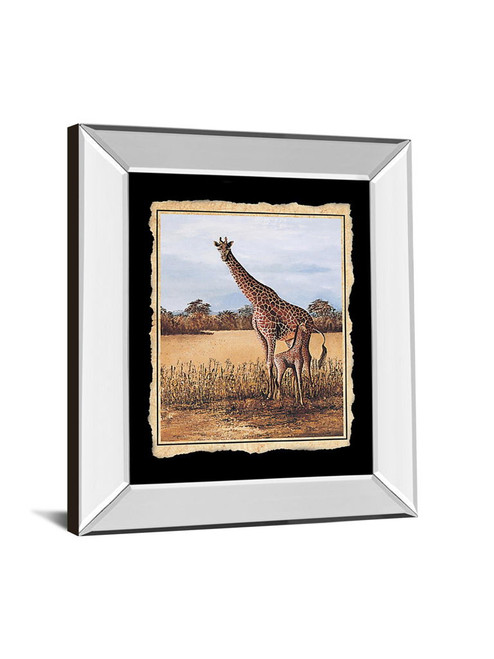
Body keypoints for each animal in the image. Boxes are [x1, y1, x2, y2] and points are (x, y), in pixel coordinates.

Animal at [214, 237, 327, 400]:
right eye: (219, 248)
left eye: (228, 248)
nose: (223, 257)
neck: (255, 300)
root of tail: (311, 319)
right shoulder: (260, 335)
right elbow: (267, 362)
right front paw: (270, 393)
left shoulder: (270, 333)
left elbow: (270, 361)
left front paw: (272, 394)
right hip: (290, 339)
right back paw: (294, 393)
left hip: (306, 335)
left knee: (308, 358)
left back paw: (311, 391)